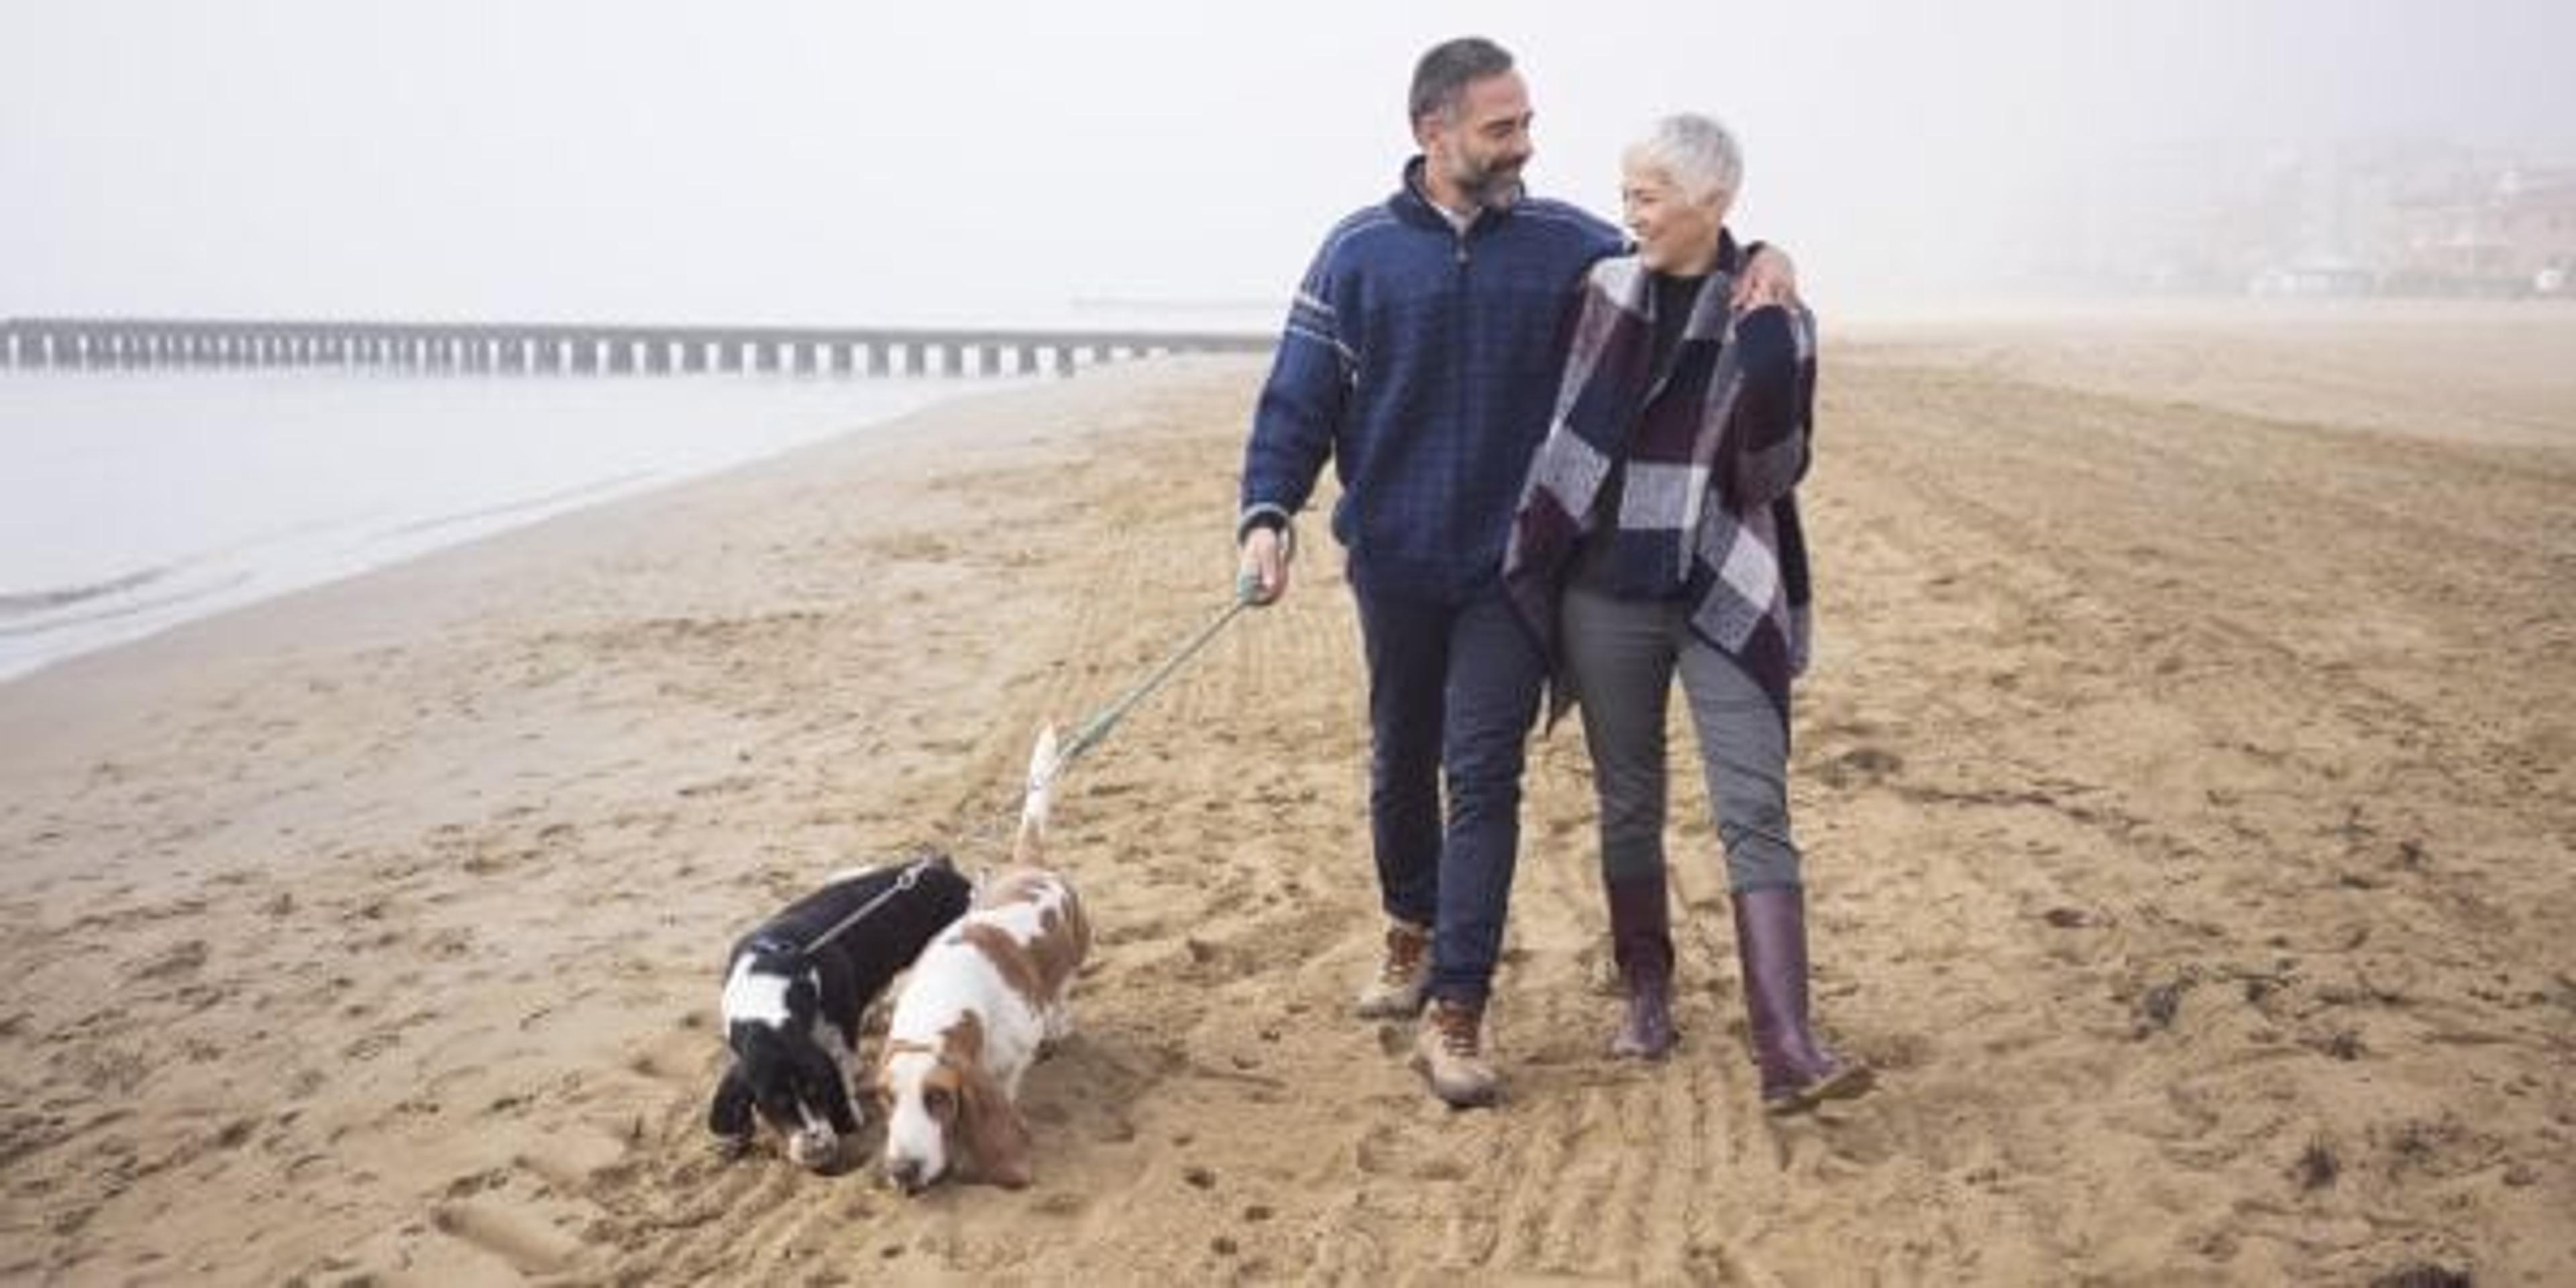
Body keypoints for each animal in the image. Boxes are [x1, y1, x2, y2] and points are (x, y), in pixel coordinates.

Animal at [706, 850, 973, 1175]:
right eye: (774, 1104)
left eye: (817, 1092)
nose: (818, 1149)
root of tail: (943, 866)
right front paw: (735, 1143)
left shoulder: (841, 1033)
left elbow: (843, 1067)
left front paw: (850, 1116)